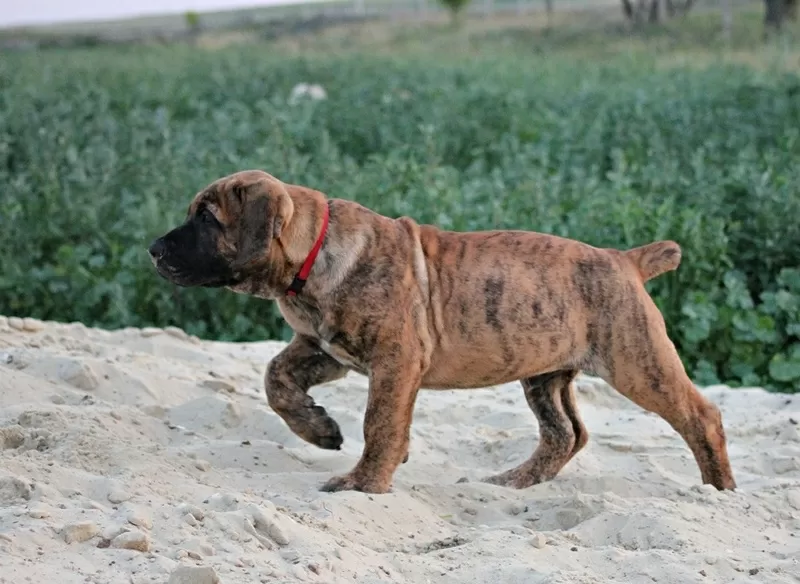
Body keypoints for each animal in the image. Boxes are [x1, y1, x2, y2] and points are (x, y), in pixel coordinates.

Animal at [150, 169, 736, 492]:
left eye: (207, 218)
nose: (153, 249)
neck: (312, 255)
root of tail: (626, 260)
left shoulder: (394, 359)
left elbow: (381, 422)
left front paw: (363, 483)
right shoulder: (324, 349)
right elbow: (276, 378)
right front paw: (319, 430)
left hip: (637, 362)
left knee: (700, 417)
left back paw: (718, 490)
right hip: (545, 373)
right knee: (565, 433)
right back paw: (511, 484)